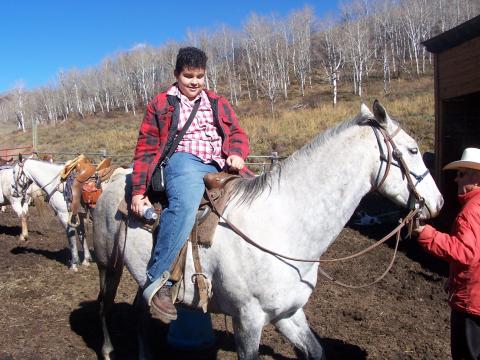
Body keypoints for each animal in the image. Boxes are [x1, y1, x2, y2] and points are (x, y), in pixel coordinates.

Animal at [93, 102, 442, 360]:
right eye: (412, 150)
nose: (437, 203)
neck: (284, 223)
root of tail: (115, 178)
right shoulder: (248, 319)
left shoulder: (287, 313)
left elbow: (315, 351)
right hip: (107, 265)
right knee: (103, 306)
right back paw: (108, 349)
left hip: (143, 276)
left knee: (140, 313)